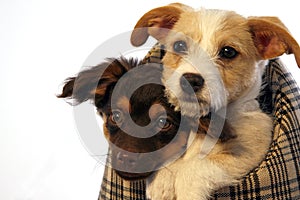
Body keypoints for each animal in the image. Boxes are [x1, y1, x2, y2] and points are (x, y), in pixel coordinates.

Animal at [132, 3, 300, 200]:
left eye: (228, 52)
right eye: (180, 45)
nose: (190, 80)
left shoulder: (248, 151)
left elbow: (195, 167)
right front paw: (162, 181)